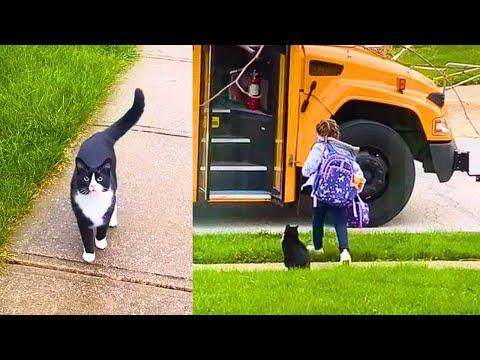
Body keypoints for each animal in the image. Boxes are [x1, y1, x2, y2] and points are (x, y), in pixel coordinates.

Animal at [69, 88, 144, 262]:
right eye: (86, 178)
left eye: (100, 178)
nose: (93, 186)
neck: (94, 202)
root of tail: (101, 135)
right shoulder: (82, 217)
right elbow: (86, 236)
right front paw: (89, 254)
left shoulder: (106, 208)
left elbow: (102, 228)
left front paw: (100, 242)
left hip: (114, 182)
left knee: (115, 201)